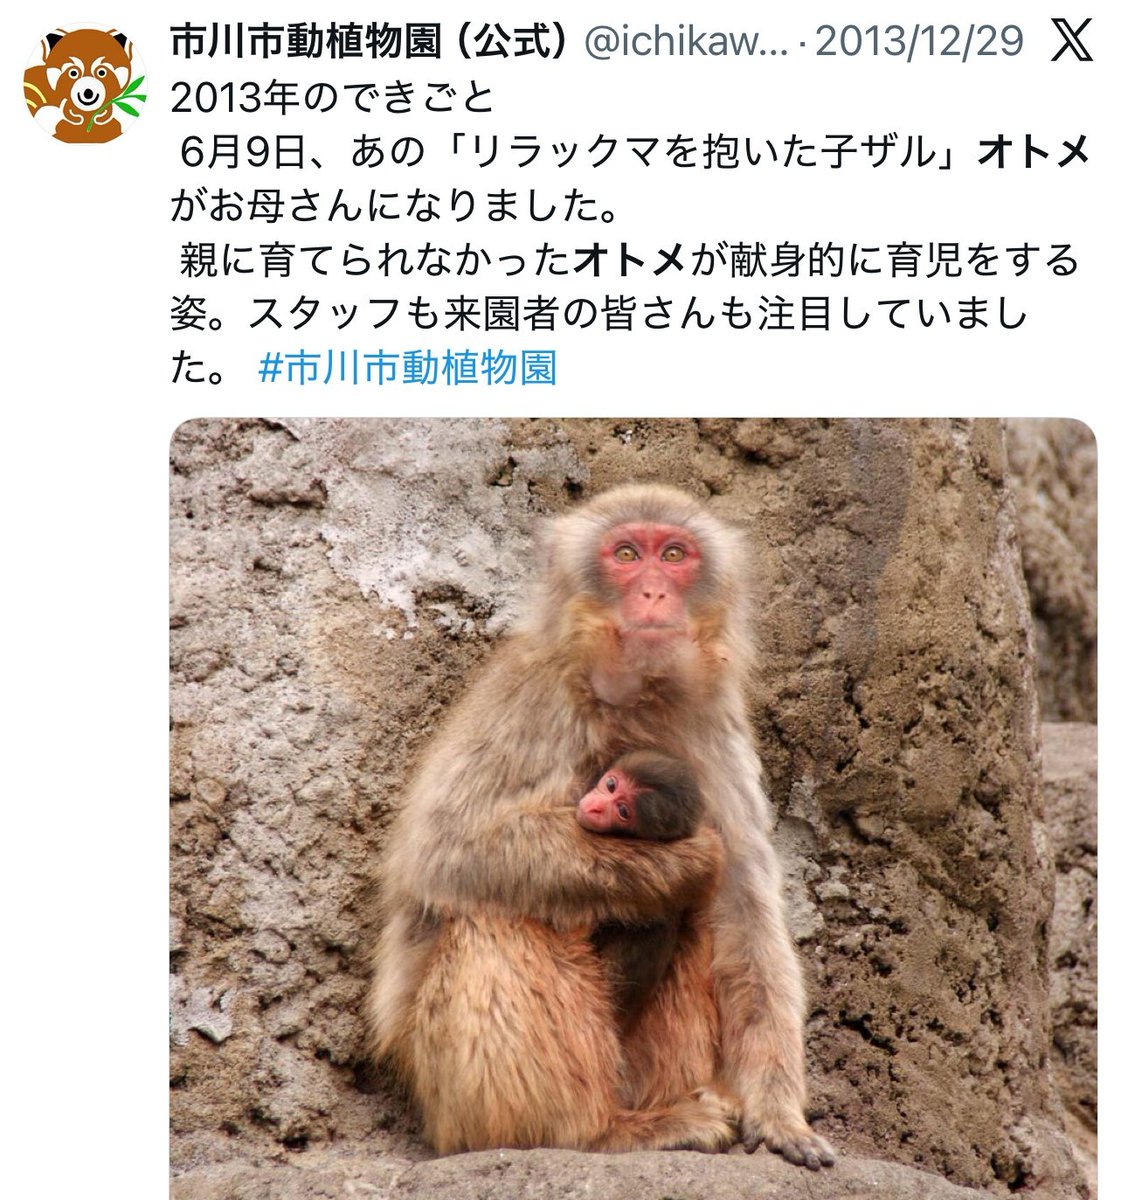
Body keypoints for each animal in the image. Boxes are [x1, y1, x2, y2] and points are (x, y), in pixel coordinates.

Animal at [366, 483, 834, 1167]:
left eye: (673, 554)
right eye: (626, 554)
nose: (653, 593)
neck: (633, 696)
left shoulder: (712, 723)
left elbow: (745, 910)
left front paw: (777, 1113)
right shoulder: (533, 698)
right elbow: (447, 849)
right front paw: (688, 860)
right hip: (444, 1087)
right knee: (494, 918)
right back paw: (590, 1132)